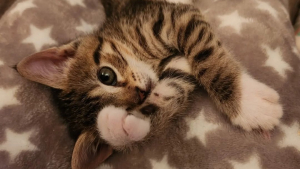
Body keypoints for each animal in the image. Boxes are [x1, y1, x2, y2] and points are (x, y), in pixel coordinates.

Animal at [16, 0, 284, 168]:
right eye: (131, 106)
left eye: (106, 75)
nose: (143, 90)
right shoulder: (177, 65)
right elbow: (173, 89)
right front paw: (121, 126)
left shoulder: (174, 17)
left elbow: (205, 55)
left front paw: (246, 102)